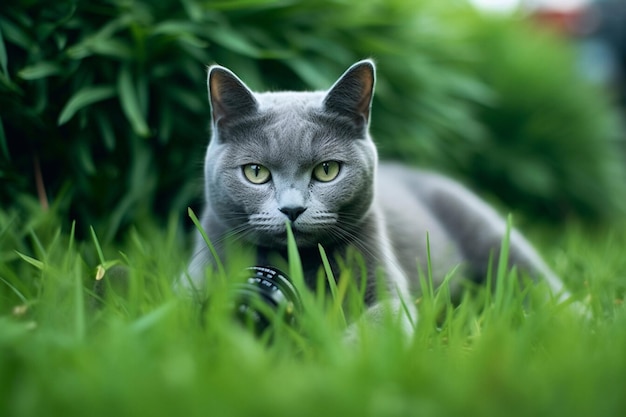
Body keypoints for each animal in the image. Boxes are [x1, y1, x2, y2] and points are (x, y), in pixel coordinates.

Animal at [179, 60, 564, 330]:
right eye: (256, 172)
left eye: (327, 170)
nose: (292, 209)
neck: (297, 262)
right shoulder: (197, 272)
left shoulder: (385, 286)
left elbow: (378, 326)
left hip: (488, 230)